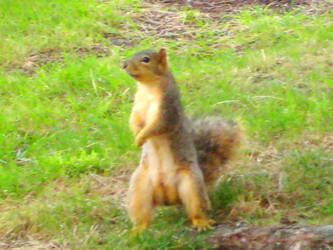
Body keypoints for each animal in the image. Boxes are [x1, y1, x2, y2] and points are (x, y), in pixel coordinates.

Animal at [122, 48, 241, 232]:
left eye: (145, 59)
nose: (124, 64)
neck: (148, 88)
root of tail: (169, 198)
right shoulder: (138, 107)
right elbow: (134, 121)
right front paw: (136, 137)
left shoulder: (168, 108)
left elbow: (157, 126)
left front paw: (140, 138)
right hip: (139, 189)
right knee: (142, 215)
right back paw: (137, 230)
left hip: (191, 185)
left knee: (196, 209)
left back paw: (202, 222)